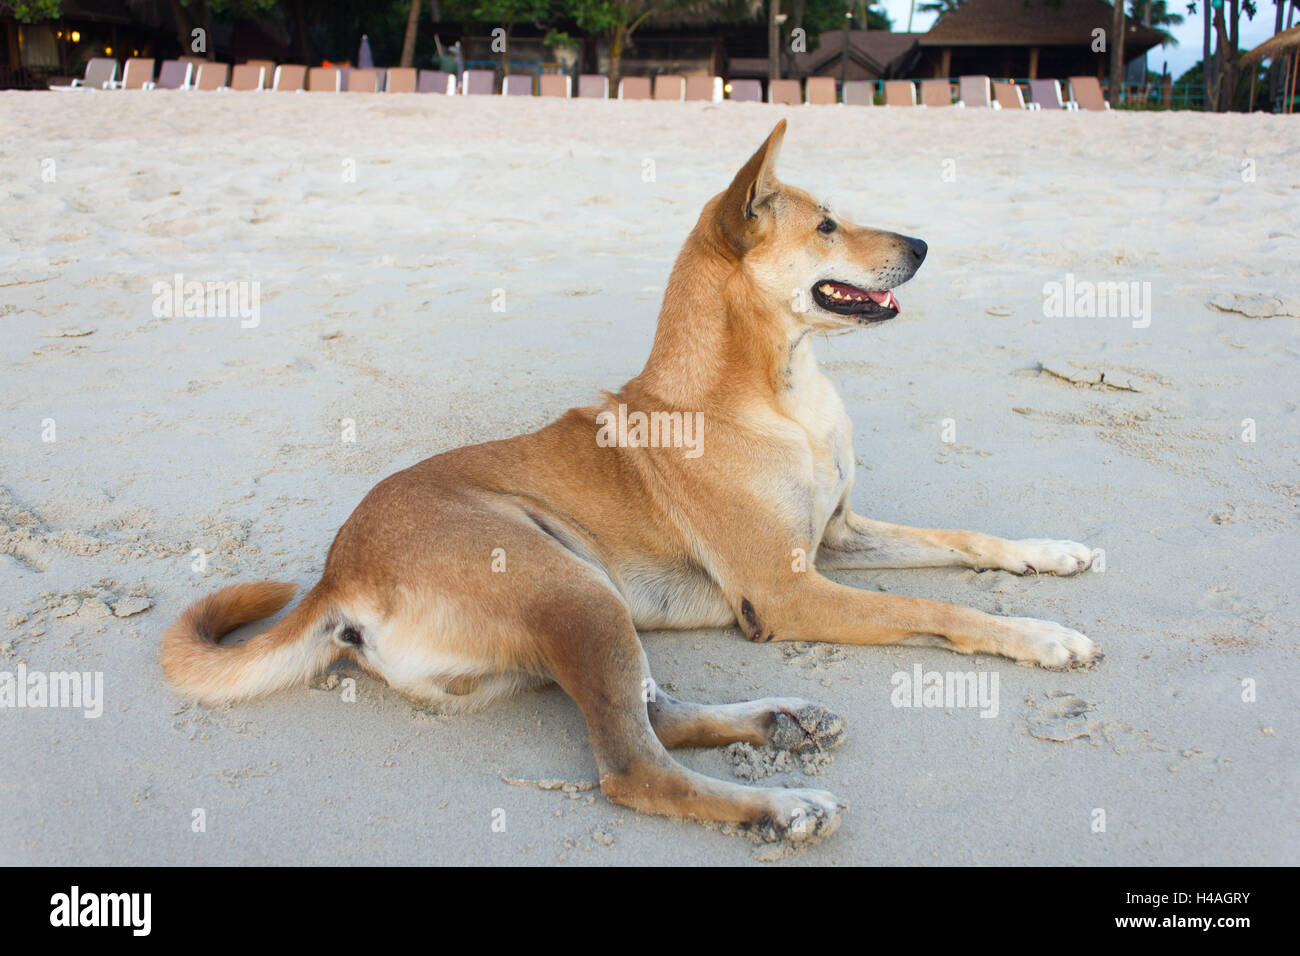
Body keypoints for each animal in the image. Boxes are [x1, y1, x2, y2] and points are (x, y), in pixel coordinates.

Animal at [162, 119, 1097, 842]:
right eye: (829, 226)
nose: (925, 246)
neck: (779, 395)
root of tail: (335, 573)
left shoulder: (837, 536)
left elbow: (965, 541)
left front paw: (1052, 554)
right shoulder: (791, 591)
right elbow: (940, 608)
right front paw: (1044, 637)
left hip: (583, 601)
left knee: (655, 713)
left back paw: (782, 722)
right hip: (572, 586)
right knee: (632, 767)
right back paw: (780, 806)